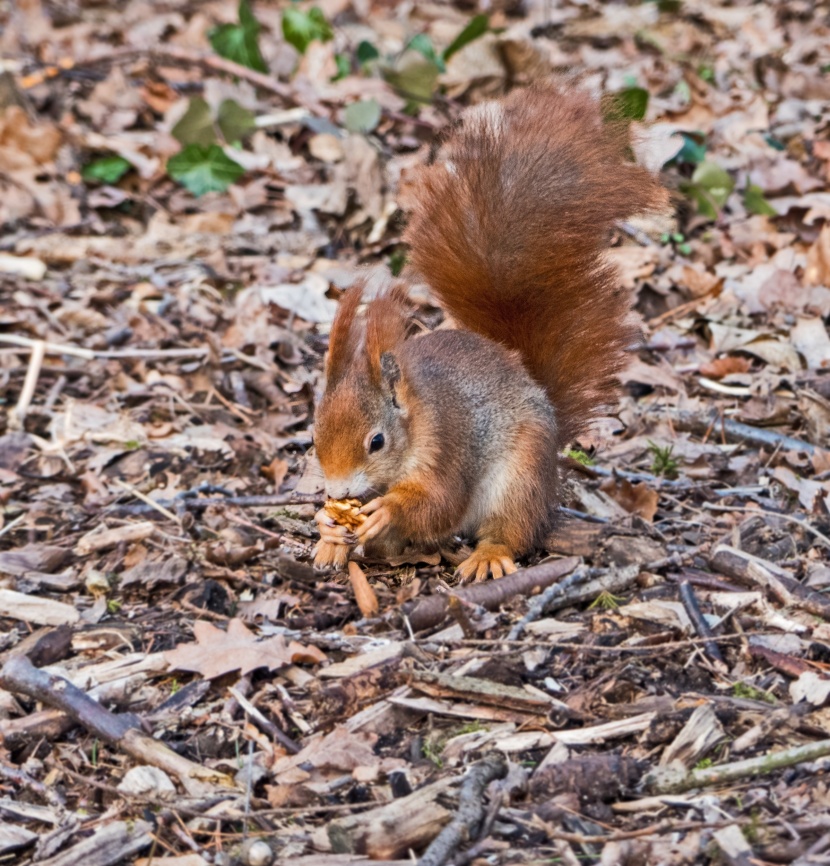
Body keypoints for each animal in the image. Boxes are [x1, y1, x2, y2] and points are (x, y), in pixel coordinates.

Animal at [312, 84, 668, 576]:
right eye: (314, 436)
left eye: (377, 442)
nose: (338, 492)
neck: (416, 418)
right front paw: (327, 529)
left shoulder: (448, 445)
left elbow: (440, 500)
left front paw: (387, 510)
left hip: (519, 476)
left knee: (511, 528)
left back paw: (488, 554)